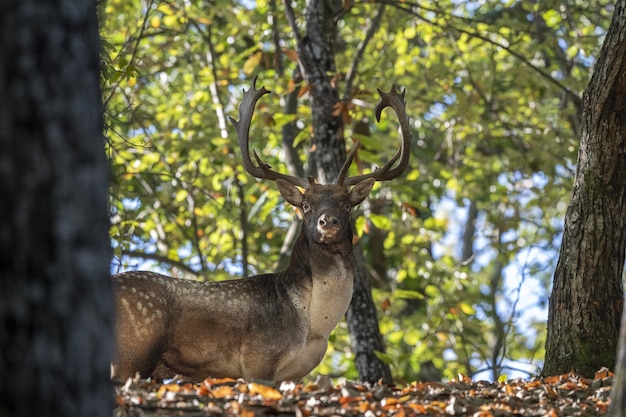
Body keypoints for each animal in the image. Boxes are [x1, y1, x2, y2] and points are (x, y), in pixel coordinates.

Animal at [109, 76, 412, 382]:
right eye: (306, 205)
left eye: (347, 204)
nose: (327, 222)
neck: (314, 325)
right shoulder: (258, 360)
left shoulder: (294, 374)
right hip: (133, 352)